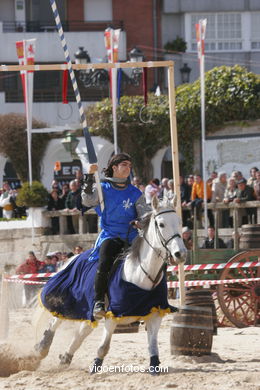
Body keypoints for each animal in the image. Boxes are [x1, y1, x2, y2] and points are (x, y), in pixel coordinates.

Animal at [34, 198, 186, 374]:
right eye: (161, 224)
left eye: (179, 221)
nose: (180, 254)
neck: (140, 274)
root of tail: (73, 257)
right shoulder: (112, 315)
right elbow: (103, 347)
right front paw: (95, 367)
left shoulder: (155, 314)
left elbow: (153, 346)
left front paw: (155, 367)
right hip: (67, 301)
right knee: (56, 321)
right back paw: (42, 347)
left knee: (81, 332)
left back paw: (65, 358)